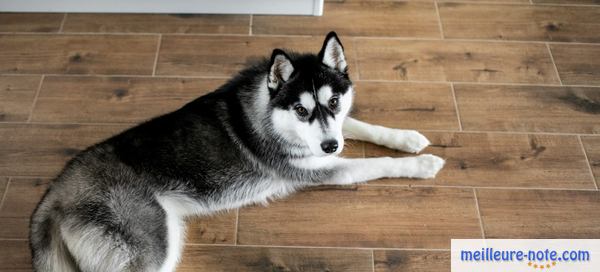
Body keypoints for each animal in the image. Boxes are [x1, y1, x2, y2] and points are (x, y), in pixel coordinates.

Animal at [31, 32, 446, 272]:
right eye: (301, 110)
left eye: (333, 101)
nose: (330, 146)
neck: (267, 109)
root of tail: (56, 190)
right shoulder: (319, 167)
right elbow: (374, 163)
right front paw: (421, 165)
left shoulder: (332, 135)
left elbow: (358, 126)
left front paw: (406, 138)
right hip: (151, 245)